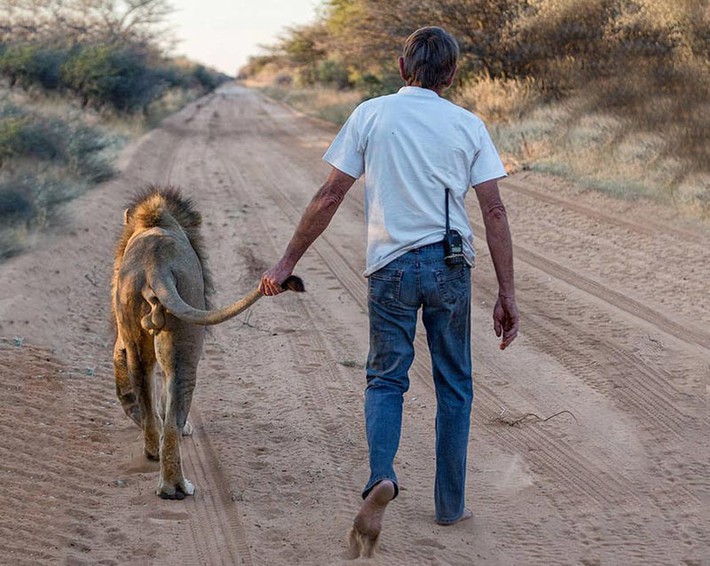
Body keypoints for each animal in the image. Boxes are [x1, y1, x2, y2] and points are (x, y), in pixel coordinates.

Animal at [111, 187, 304, 502]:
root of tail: (155, 267)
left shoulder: (122, 334)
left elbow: (120, 364)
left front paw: (131, 409)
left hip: (135, 330)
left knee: (144, 387)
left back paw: (152, 448)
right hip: (186, 340)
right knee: (174, 414)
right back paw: (175, 486)